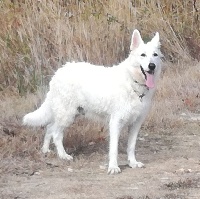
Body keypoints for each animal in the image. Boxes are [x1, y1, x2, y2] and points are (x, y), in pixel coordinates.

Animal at [23, 29, 162, 174]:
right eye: (143, 55)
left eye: (155, 55)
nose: (152, 66)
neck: (132, 82)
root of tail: (58, 72)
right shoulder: (115, 122)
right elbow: (114, 149)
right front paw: (113, 167)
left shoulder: (136, 124)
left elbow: (131, 146)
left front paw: (133, 163)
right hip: (67, 115)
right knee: (56, 133)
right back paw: (63, 155)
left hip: (70, 114)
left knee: (49, 127)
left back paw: (45, 150)